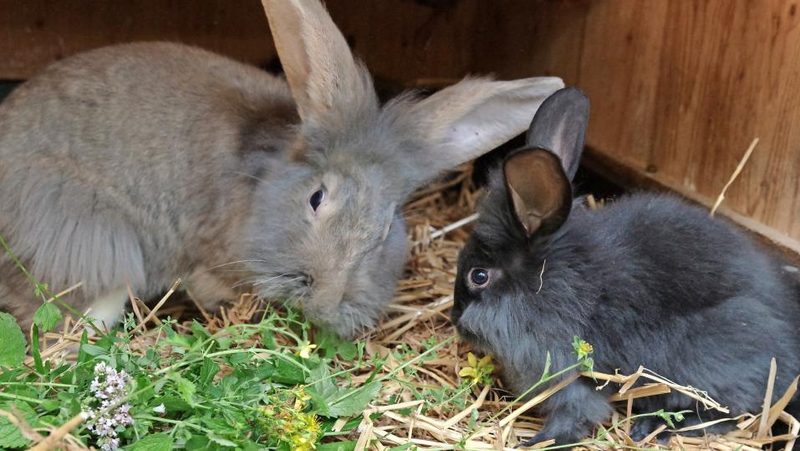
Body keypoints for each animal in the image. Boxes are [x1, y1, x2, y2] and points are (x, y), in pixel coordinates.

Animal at [451, 87, 800, 447]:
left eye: (479, 276)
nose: (455, 320)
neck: (548, 284)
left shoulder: (568, 372)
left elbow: (575, 414)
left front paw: (538, 442)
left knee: (729, 414)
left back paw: (655, 428)